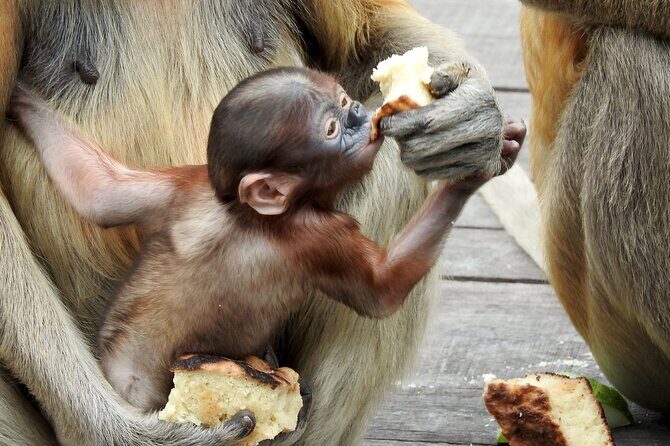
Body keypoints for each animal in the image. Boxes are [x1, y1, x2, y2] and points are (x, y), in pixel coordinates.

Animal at [0, 1, 524, 444]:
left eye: (343, 103)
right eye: (331, 127)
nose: (358, 114)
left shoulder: (183, 187)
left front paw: (471, 117)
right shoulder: (316, 232)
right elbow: (382, 285)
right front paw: (120, 432)